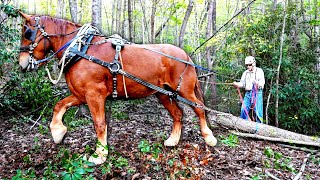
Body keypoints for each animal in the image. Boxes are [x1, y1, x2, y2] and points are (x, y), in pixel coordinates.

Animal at [18, 12, 218, 165]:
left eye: (27, 33)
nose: (22, 63)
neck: (81, 50)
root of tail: (186, 55)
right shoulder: (81, 94)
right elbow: (59, 106)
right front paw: (58, 132)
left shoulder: (94, 95)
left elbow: (99, 124)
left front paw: (99, 155)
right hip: (163, 93)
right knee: (177, 114)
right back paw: (173, 140)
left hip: (185, 90)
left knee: (199, 109)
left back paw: (209, 137)